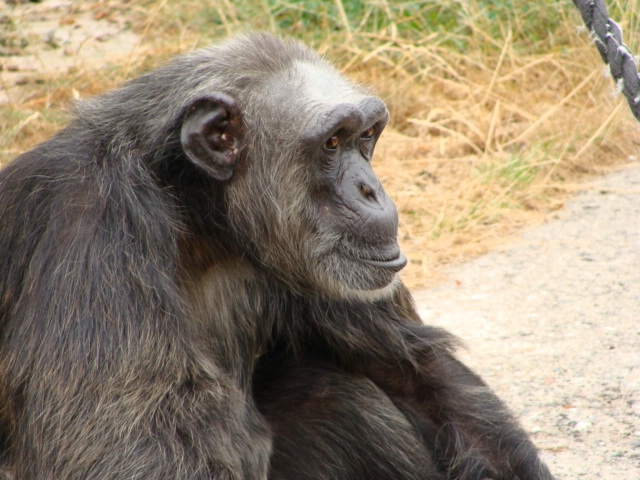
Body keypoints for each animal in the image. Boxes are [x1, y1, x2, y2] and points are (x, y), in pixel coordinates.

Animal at [0, 33, 555, 479]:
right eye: (332, 142)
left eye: (366, 136)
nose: (370, 189)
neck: (198, 213)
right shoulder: (93, 230)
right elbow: (132, 455)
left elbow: (418, 370)